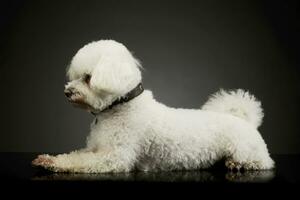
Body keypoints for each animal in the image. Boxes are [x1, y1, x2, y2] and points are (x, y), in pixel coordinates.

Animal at [32, 39, 274, 173]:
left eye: (88, 78)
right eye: (74, 76)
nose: (67, 92)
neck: (122, 106)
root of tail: (245, 120)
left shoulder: (114, 156)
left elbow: (80, 161)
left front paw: (52, 163)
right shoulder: (95, 148)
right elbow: (74, 154)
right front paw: (49, 159)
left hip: (247, 150)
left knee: (264, 162)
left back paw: (239, 164)